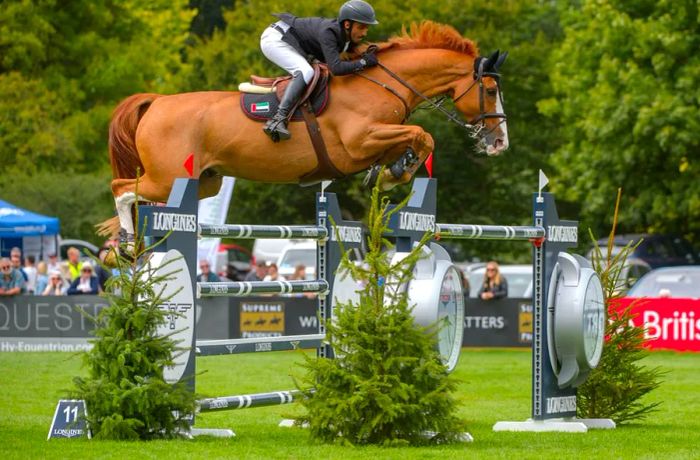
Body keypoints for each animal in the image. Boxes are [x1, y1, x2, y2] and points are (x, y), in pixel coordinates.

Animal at [100, 21, 508, 237]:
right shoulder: (358, 144)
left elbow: (413, 141)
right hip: (168, 176)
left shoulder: (376, 140)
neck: (380, 83)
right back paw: (127, 240)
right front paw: (396, 173)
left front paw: (392, 170)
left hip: (203, 182)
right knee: (121, 188)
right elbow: (423, 135)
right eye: (490, 91)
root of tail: (157, 102)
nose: (500, 143)